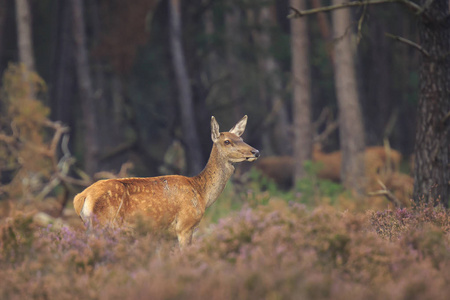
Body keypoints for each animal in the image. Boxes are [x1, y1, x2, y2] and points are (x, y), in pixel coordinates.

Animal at [74, 115, 260, 246]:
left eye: (242, 139)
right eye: (227, 141)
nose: (255, 152)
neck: (202, 193)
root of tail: (81, 197)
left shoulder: (165, 234)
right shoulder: (185, 225)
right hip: (103, 223)